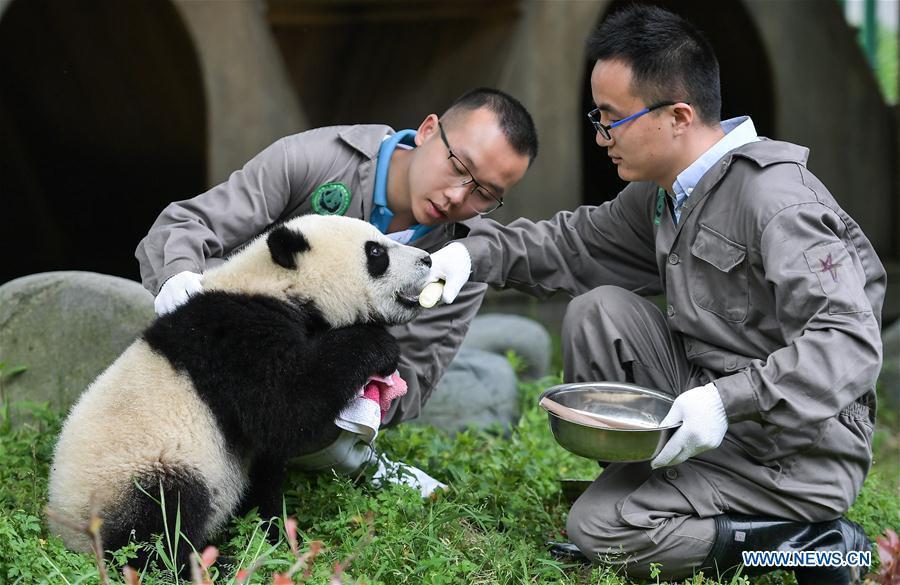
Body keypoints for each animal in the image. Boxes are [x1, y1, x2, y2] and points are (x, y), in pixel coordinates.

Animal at [47, 214, 432, 571]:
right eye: (376, 252)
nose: (427, 259)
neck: (273, 284)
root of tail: (69, 536)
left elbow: (266, 463)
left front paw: (274, 533)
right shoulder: (234, 339)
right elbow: (284, 406)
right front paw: (379, 345)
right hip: (133, 472)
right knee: (158, 519)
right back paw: (209, 564)